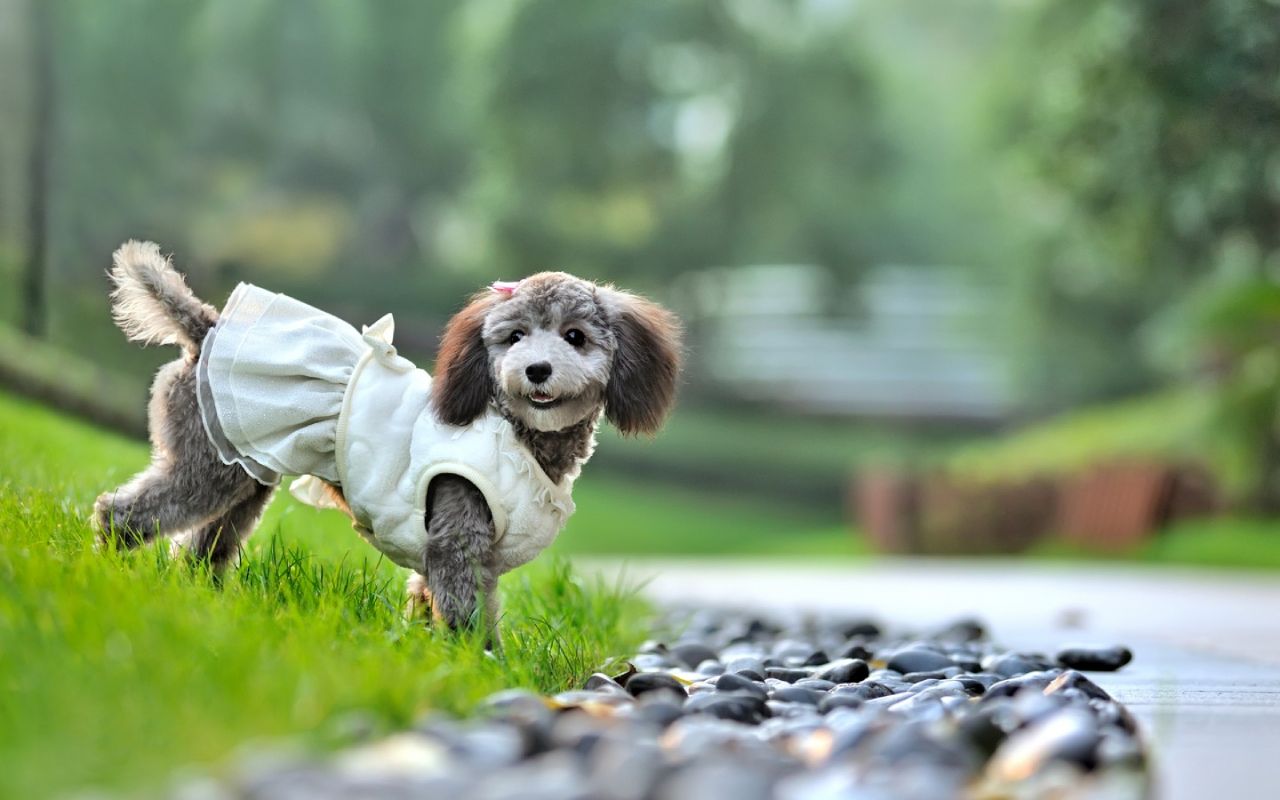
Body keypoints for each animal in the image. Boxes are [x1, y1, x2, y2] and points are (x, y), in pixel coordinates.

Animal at [90, 240, 680, 632]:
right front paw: (477, 666)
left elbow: (438, 605)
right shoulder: (457, 534)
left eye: (575, 337)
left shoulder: (471, 557)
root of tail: (206, 326)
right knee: (127, 513)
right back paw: (108, 569)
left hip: (245, 476)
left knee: (204, 547)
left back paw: (202, 600)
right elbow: (465, 618)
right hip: (208, 468)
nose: (535, 369)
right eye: (514, 337)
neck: (515, 433)